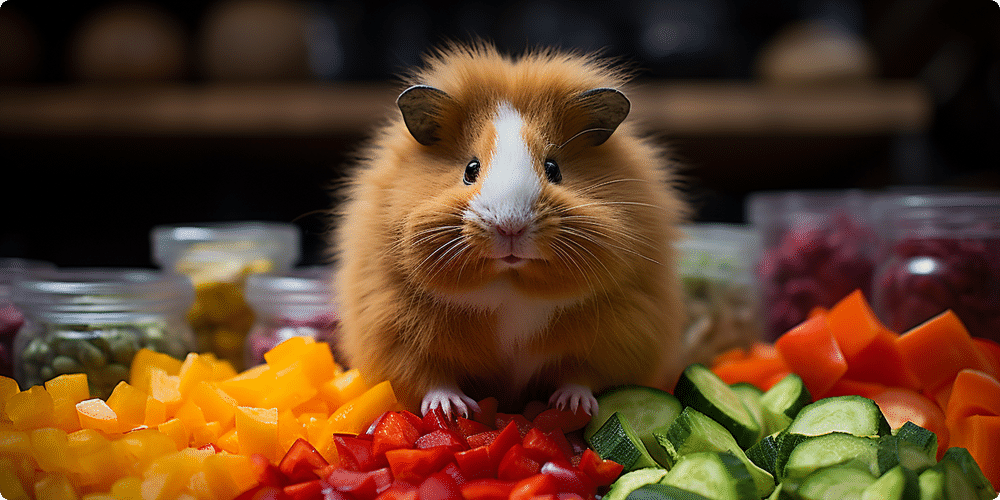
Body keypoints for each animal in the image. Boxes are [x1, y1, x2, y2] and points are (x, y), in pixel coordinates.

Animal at [332, 42, 689, 417]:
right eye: (471, 169)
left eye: (553, 168)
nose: (511, 227)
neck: (510, 285)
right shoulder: (399, 335)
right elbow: (432, 379)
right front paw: (453, 411)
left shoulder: (613, 341)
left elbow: (580, 376)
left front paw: (573, 407)